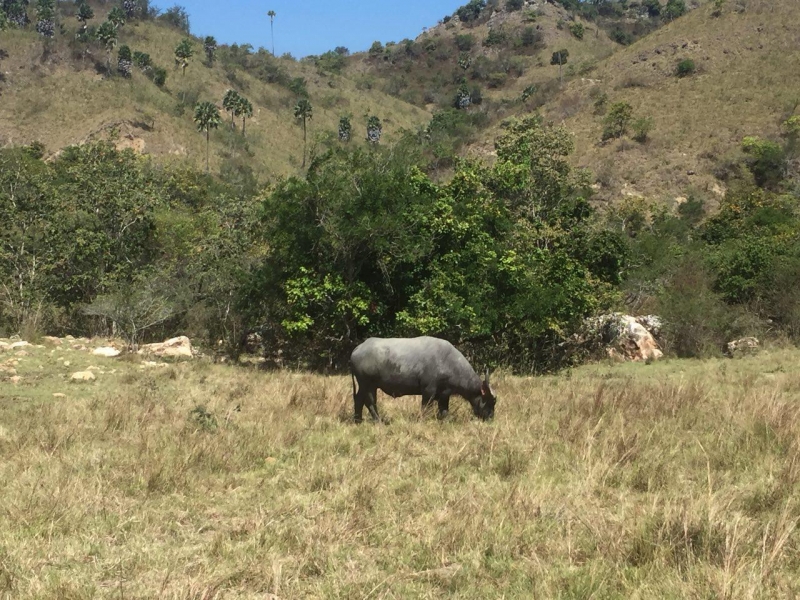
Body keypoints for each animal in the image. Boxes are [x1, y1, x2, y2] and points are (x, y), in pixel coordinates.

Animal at [348, 338, 494, 422]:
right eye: (489, 400)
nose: (490, 418)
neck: (449, 362)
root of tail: (357, 349)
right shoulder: (428, 391)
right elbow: (425, 408)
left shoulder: (444, 394)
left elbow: (444, 411)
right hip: (367, 384)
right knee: (368, 401)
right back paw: (376, 420)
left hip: (368, 385)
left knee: (360, 399)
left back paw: (359, 420)